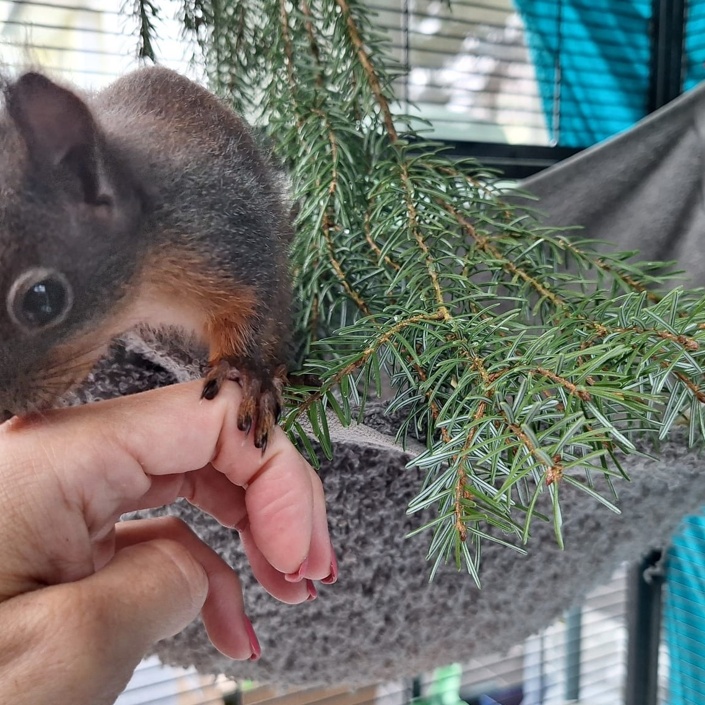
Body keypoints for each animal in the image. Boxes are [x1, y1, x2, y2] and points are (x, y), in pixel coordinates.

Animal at [0, 67, 293, 450]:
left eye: (42, 299)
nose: (3, 411)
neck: (147, 286)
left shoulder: (232, 237)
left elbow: (249, 312)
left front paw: (245, 373)